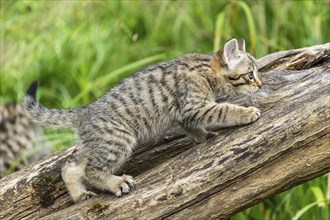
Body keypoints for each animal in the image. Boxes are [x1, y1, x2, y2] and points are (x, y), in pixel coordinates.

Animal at [22, 38, 260, 203]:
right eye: (250, 74)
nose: (259, 84)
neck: (205, 70)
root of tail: (86, 110)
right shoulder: (194, 106)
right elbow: (224, 109)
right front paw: (247, 113)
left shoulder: (185, 114)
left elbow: (192, 127)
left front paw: (203, 136)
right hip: (118, 140)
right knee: (91, 170)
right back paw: (116, 183)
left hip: (96, 143)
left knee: (70, 166)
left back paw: (79, 194)